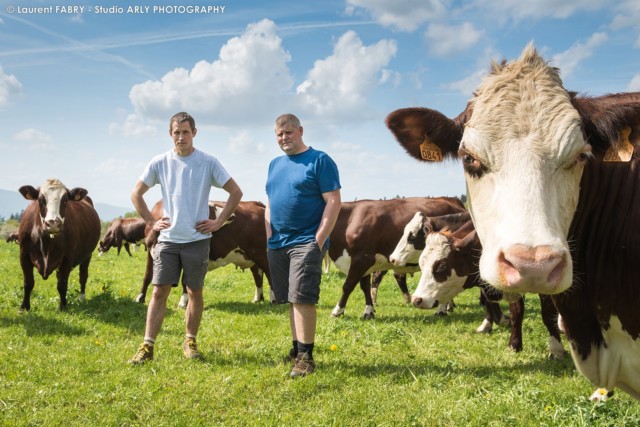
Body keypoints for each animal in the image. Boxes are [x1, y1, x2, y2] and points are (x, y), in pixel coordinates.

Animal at [16, 179, 100, 312]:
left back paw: (82, 298)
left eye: (65, 200)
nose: (53, 224)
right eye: (41, 199)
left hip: (87, 255)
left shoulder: (67, 257)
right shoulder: (24, 254)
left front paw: (62, 307)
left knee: (83, 276)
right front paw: (24, 307)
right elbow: (28, 282)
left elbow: (62, 284)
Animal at [136, 201, 272, 308]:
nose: (233, 214)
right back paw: (257, 299)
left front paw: (183, 302)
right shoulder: (151, 253)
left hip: (260, 253)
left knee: (269, 273)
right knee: (258, 276)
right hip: (251, 256)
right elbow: (147, 275)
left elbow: (185, 280)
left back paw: (273, 299)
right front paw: (140, 297)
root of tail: (255, 203)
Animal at [330, 196, 464, 320]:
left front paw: (338, 311)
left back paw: (442, 309)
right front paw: (369, 311)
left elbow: (348, 286)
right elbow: (365, 287)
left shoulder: (361, 259)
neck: (349, 219)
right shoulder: (363, 263)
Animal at [410, 219, 564, 360]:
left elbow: (547, 315)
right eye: (421, 264)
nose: (417, 299)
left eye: (441, 266)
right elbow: (511, 312)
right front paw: (513, 343)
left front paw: (556, 349)